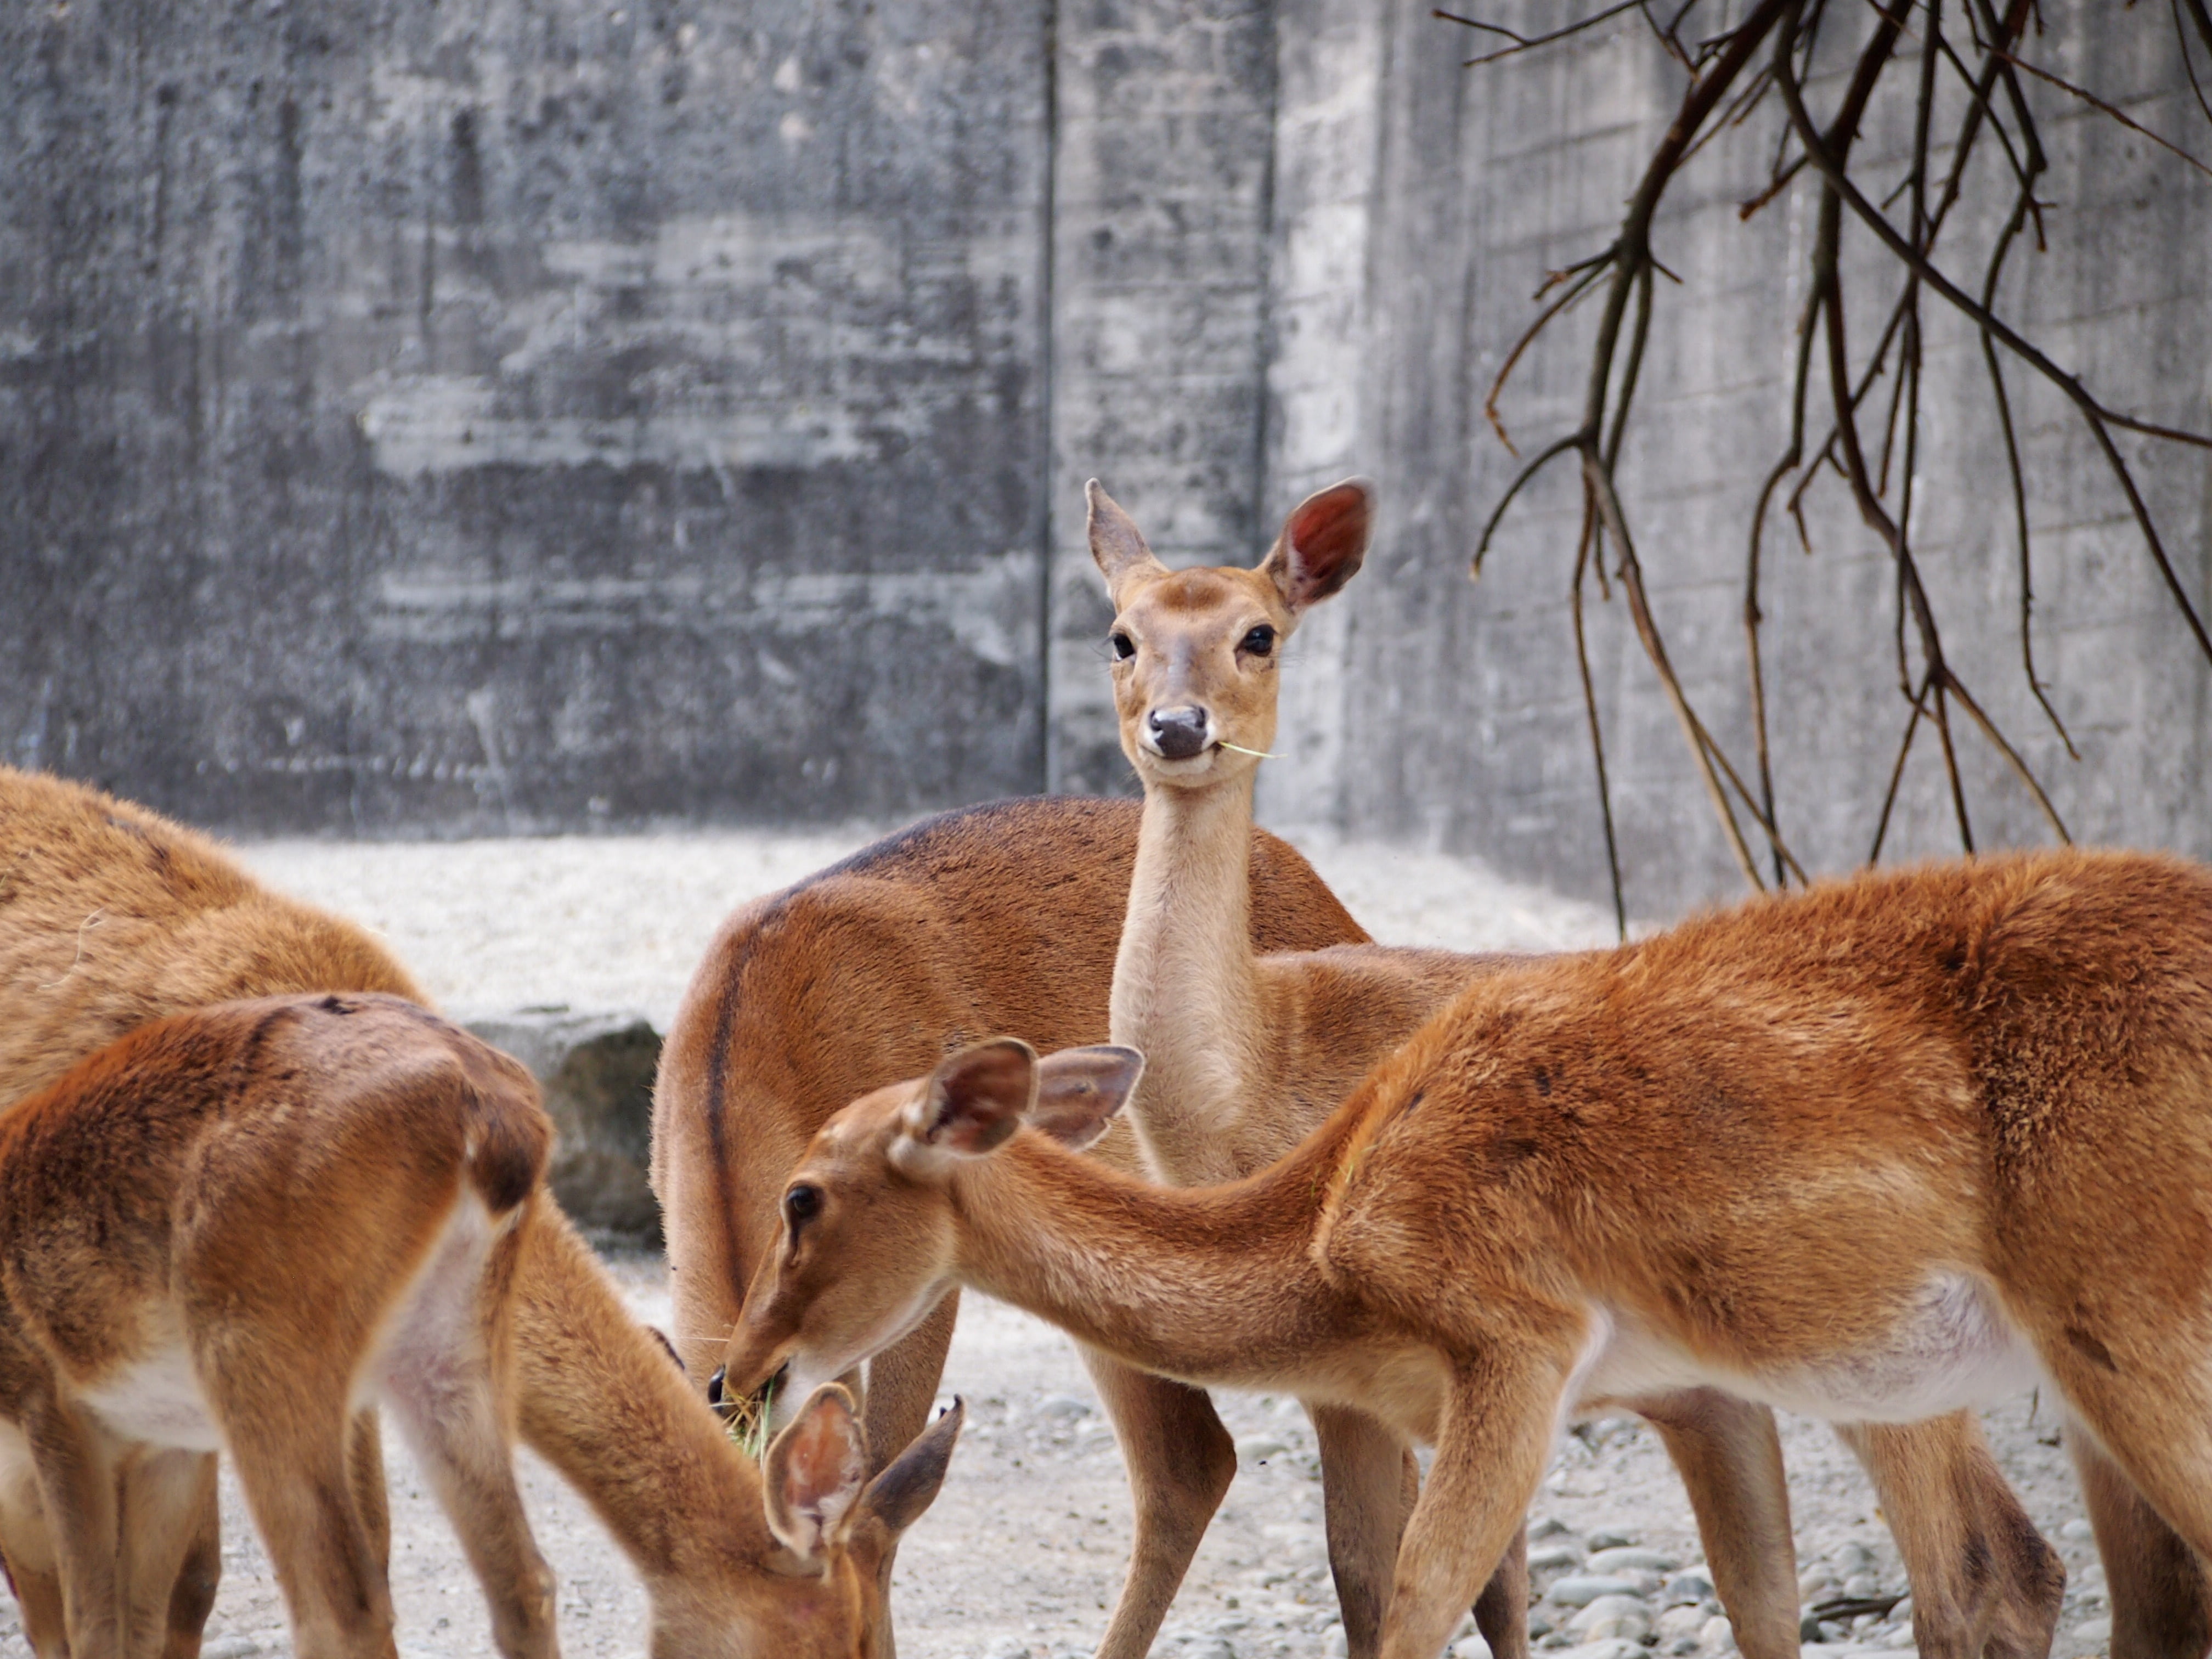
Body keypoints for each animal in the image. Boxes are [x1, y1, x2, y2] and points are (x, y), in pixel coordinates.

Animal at [721, 845, 2212, 1659]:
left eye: (804, 1196)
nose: (743, 1373)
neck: (1327, 1230)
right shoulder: (1692, 1396)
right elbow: (1755, 1605)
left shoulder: (1517, 1344)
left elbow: (1416, 1605)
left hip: (2107, 1328)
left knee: (2009, 1571)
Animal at [1082, 473, 2190, 1659]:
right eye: (1121, 634)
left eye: (1259, 633)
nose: (1178, 726)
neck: (1256, 1075)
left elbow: (1401, 1575)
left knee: (1993, 1563)